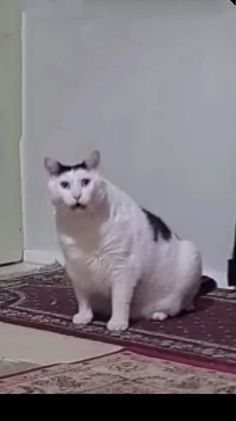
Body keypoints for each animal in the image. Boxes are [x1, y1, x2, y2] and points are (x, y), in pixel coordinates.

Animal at [45, 151, 202, 332]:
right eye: (64, 185)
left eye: (85, 182)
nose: (76, 195)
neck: (83, 227)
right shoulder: (76, 267)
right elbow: (82, 298)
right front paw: (84, 316)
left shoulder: (123, 267)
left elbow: (119, 299)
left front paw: (118, 322)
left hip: (192, 254)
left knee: (183, 304)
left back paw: (161, 313)